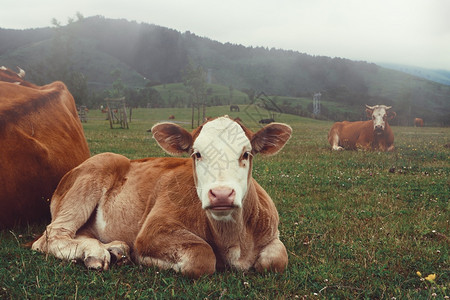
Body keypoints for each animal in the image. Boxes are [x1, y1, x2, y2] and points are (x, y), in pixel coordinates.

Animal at [31, 116, 292, 278]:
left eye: (246, 153)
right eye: (196, 154)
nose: (221, 194)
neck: (233, 241)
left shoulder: (272, 233)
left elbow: (277, 260)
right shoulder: (152, 230)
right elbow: (202, 256)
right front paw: (146, 259)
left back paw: (114, 249)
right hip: (91, 176)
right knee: (50, 236)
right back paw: (96, 253)